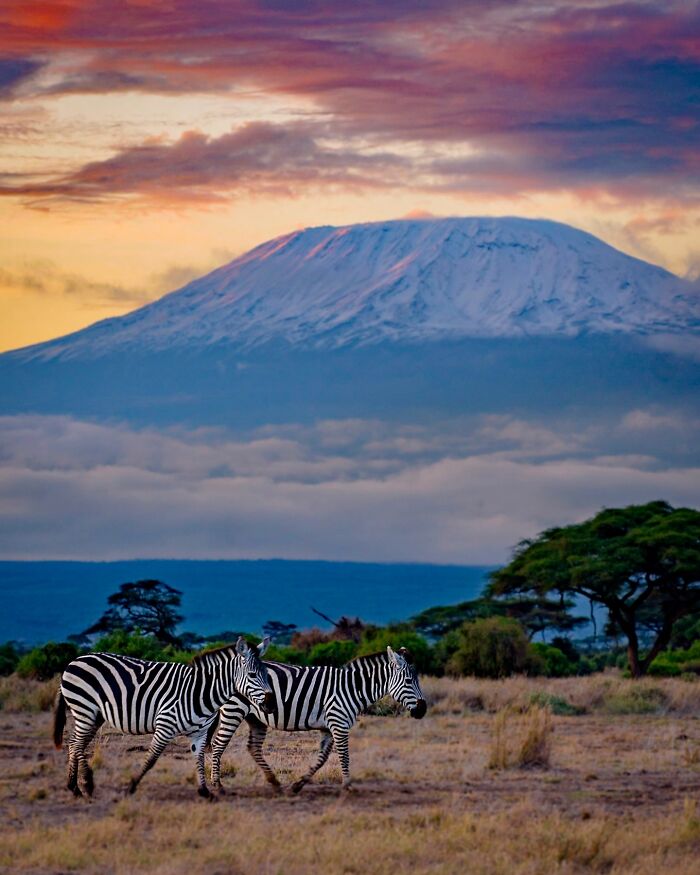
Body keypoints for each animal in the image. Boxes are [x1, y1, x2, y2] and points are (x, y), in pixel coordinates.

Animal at [53, 636, 274, 799]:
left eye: (266, 674)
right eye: (253, 675)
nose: (270, 703)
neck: (201, 691)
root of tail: (74, 661)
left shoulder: (200, 733)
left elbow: (199, 758)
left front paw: (205, 791)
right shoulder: (165, 725)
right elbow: (151, 758)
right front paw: (132, 786)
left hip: (94, 715)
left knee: (74, 744)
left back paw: (75, 787)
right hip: (85, 709)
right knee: (77, 745)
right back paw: (86, 785)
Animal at [209, 645, 426, 794]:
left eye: (417, 680)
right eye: (409, 681)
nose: (423, 710)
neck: (352, 688)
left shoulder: (329, 727)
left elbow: (322, 758)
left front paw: (298, 785)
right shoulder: (339, 723)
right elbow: (344, 755)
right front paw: (348, 786)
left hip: (256, 718)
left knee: (253, 747)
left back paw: (275, 782)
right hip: (233, 710)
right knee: (218, 745)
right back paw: (217, 785)